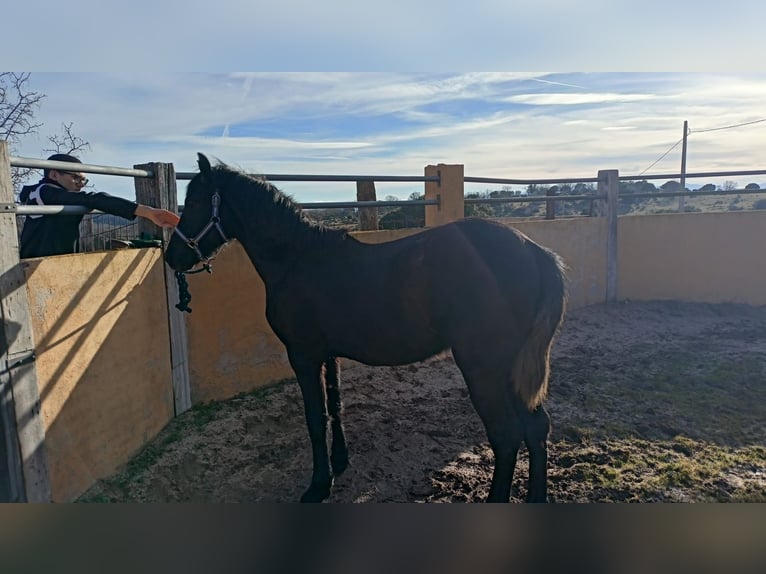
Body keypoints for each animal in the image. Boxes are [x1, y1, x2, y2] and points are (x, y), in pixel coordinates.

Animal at [166, 155, 568, 506]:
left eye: (196, 200)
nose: (172, 256)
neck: (298, 259)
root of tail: (536, 253)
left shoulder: (303, 356)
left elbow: (315, 419)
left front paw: (318, 486)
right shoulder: (328, 354)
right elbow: (335, 407)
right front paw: (339, 464)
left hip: (483, 367)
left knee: (506, 434)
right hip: (512, 369)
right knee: (536, 427)